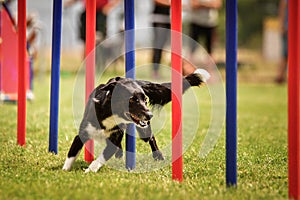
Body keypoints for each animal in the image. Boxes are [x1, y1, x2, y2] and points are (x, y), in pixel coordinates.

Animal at [62, 69, 210, 172]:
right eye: (132, 100)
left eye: (145, 100)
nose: (150, 115)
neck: (110, 115)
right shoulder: (83, 133)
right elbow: (71, 154)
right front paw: (65, 171)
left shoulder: (113, 140)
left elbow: (100, 158)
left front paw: (89, 171)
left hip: (144, 132)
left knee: (151, 138)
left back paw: (159, 157)